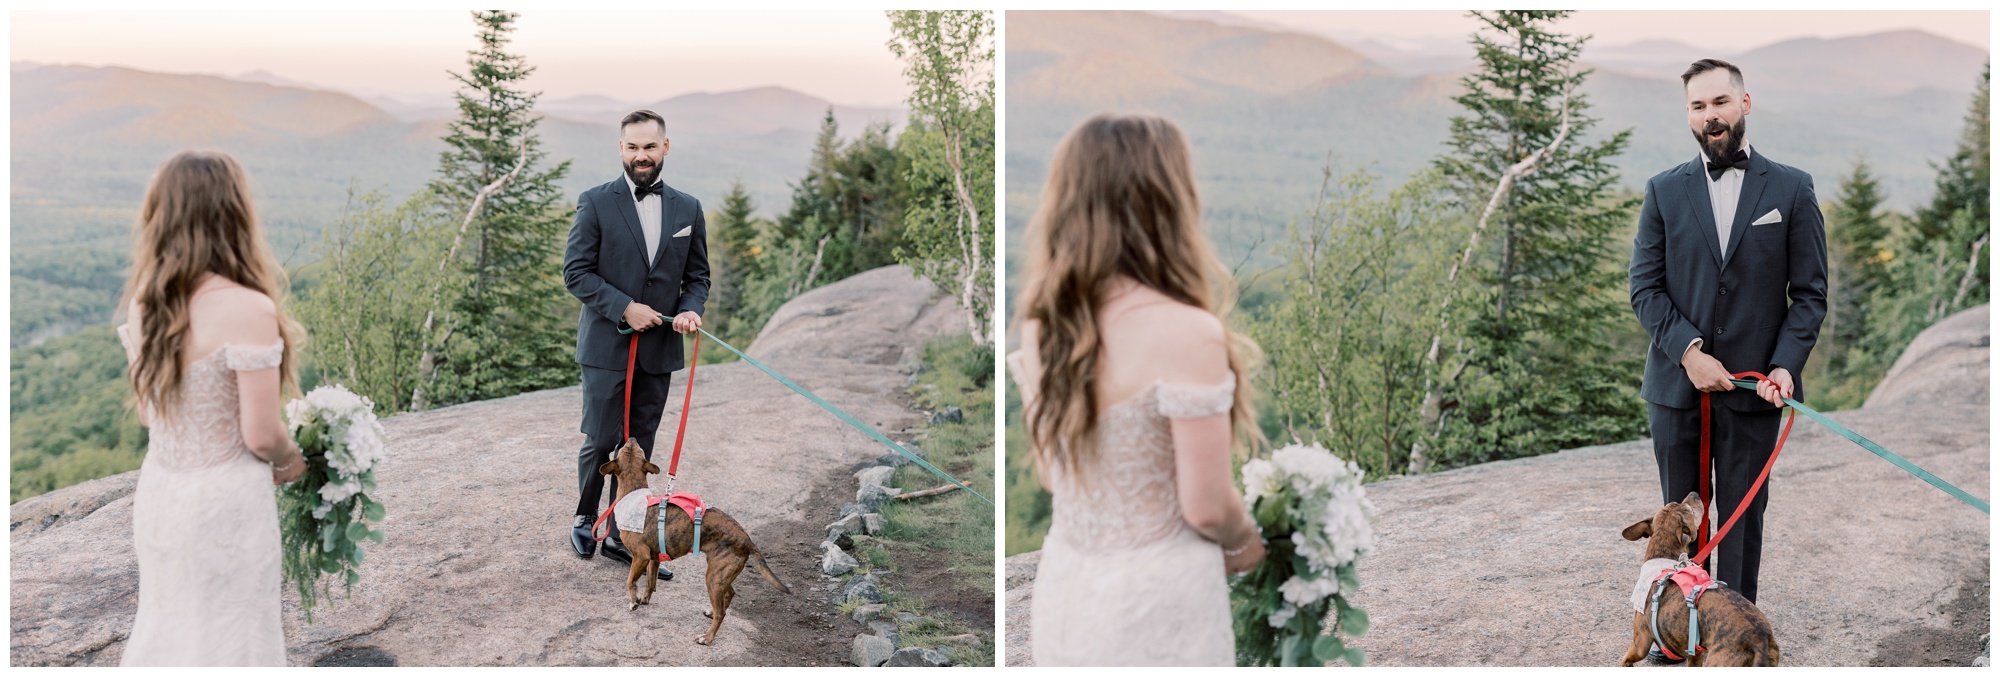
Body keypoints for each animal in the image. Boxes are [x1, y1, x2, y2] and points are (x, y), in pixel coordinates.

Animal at [596, 438, 792, 644]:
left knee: (722, 612)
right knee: (729, 594)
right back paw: (711, 612)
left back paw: (707, 637)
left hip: (714, 576)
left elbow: (630, 581)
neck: (634, 493)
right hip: (720, 574)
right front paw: (644, 599)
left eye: (627, 448)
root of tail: (747, 540)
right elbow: (650, 582)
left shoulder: (641, 556)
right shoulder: (654, 559)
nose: (632, 438)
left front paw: (633, 602)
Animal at [1616, 492, 1792, 664]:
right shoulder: (1694, 653)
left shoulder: (1640, 643)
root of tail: (1759, 639)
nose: (1694, 493)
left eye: (1687, 508)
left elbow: (1625, 660)